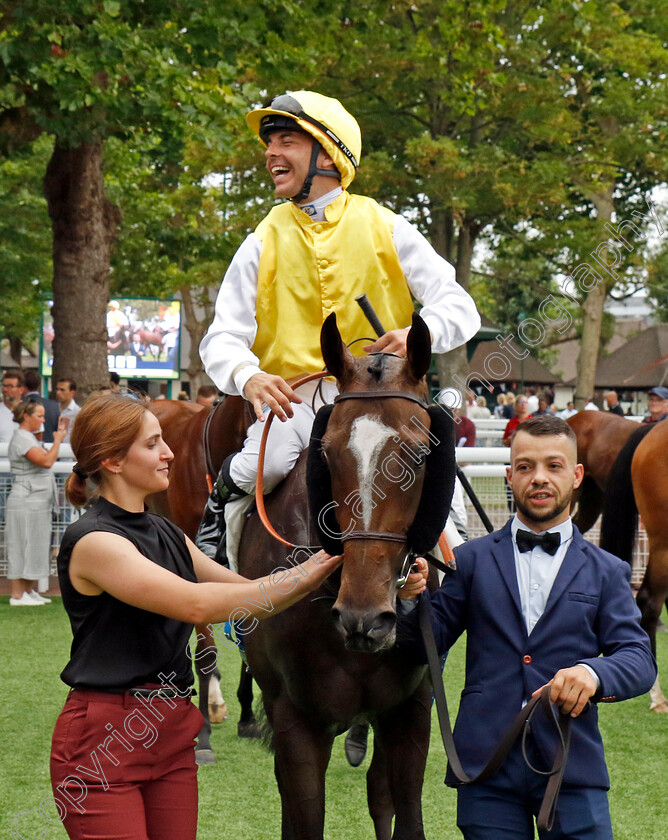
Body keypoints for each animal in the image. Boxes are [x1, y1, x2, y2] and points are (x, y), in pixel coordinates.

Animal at [235, 314, 454, 840]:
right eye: (328, 453)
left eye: (421, 455)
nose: (364, 619)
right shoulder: (295, 719)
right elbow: (303, 815)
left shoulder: (411, 709)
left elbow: (404, 813)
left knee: (378, 792)